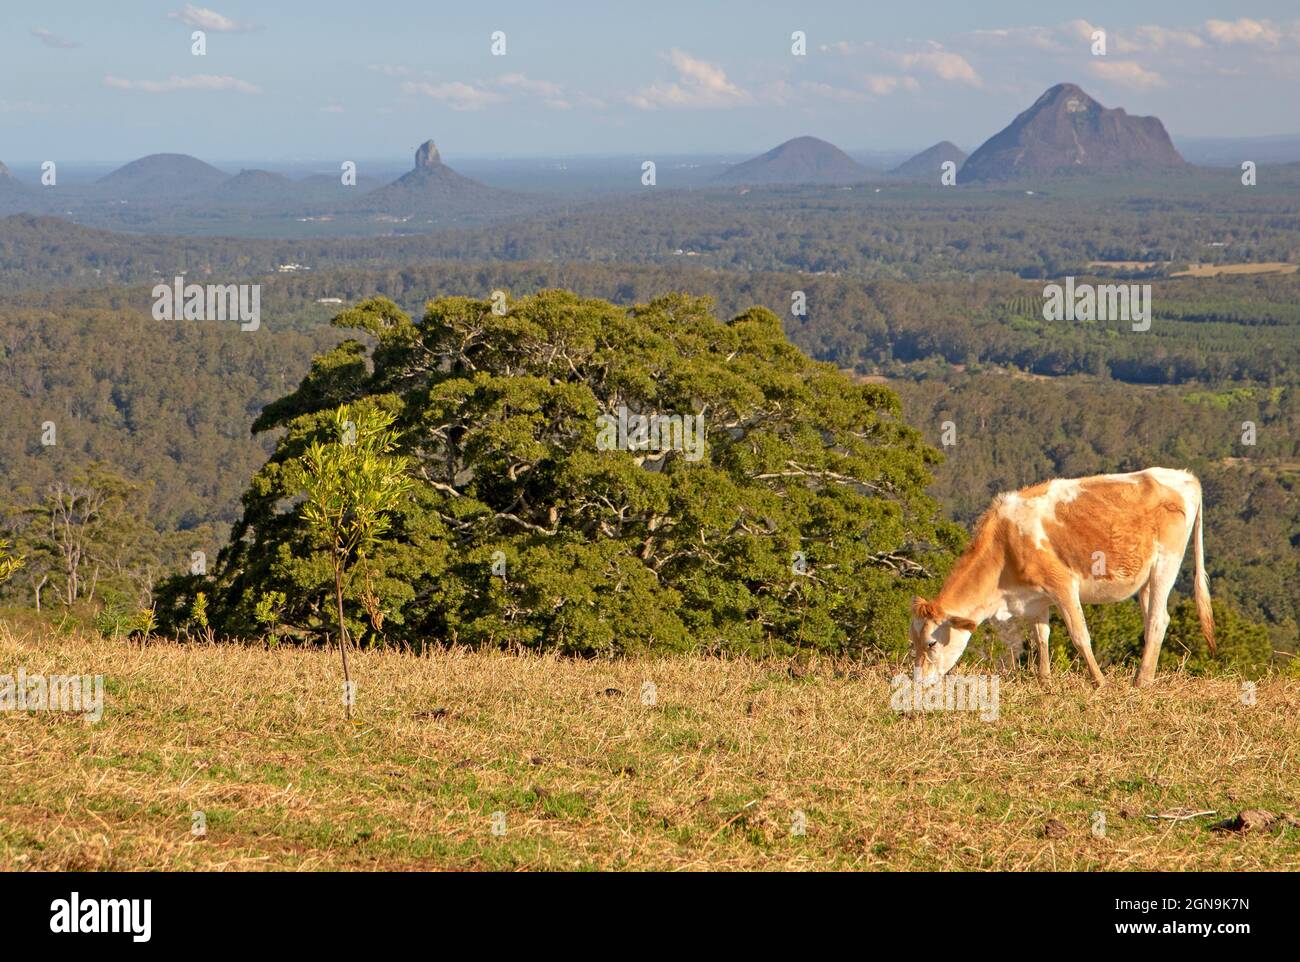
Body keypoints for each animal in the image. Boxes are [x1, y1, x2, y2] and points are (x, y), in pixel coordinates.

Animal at [909, 467, 1211, 686]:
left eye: (931, 643)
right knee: (1151, 619)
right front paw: (1045, 681)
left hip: (1166, 564)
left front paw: (1100, 682)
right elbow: (1041, 637)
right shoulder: (1034, 599)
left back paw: (1142, 681)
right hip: (1146, 576)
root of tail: (1183, 475)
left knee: (1159, 619)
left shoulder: (1062, 585)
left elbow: (1080, 635)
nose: (918, 682)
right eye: (913, 642)